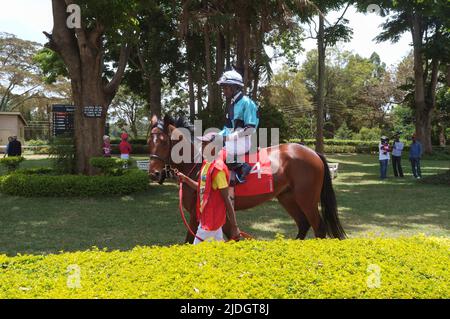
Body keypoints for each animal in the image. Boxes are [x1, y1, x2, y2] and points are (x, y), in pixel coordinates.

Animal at [148, 116, 344, 244]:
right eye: (149, 141)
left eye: (164, 141)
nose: (154, 174)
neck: (198, 163)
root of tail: (313, 152)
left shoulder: (200, 212)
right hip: (288, 197)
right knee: (303, 224)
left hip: (306, 199)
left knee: (319, 227)